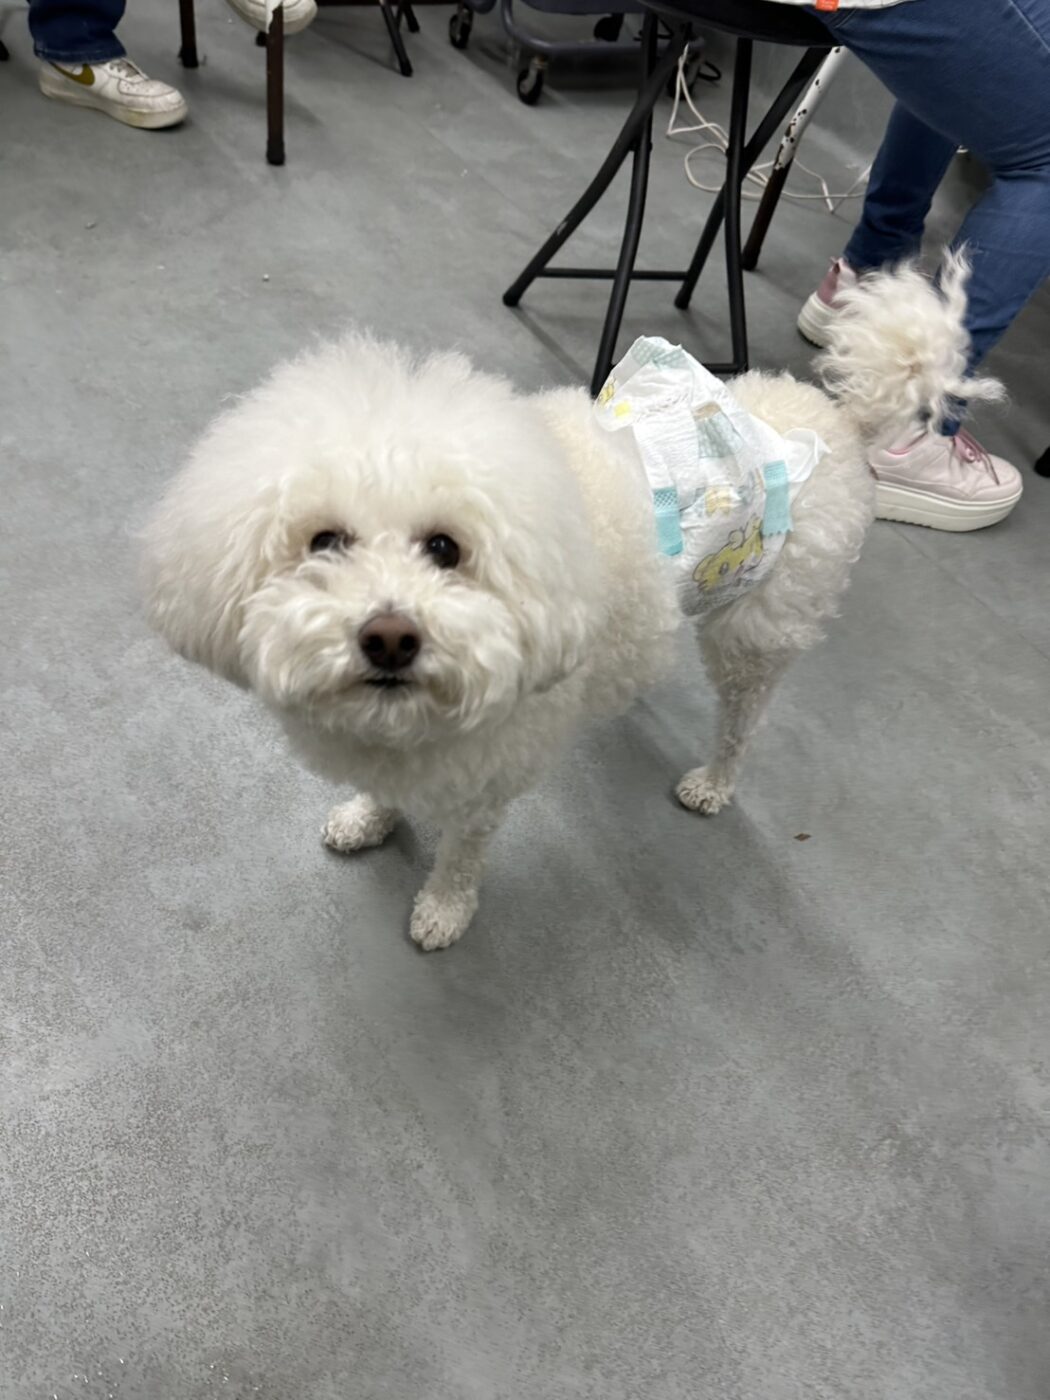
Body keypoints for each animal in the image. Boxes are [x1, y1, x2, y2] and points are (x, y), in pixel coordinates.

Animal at [142, 255, 1000, 949]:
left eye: (445, 549)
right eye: (324, 543)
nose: (389, 636)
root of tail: (840, 417)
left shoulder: (488, 777)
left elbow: (461, 853)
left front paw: (443, 911)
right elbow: (387, 792)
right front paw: (369, 816)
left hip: (757, 632)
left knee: (743, 720)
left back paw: (713, 782)